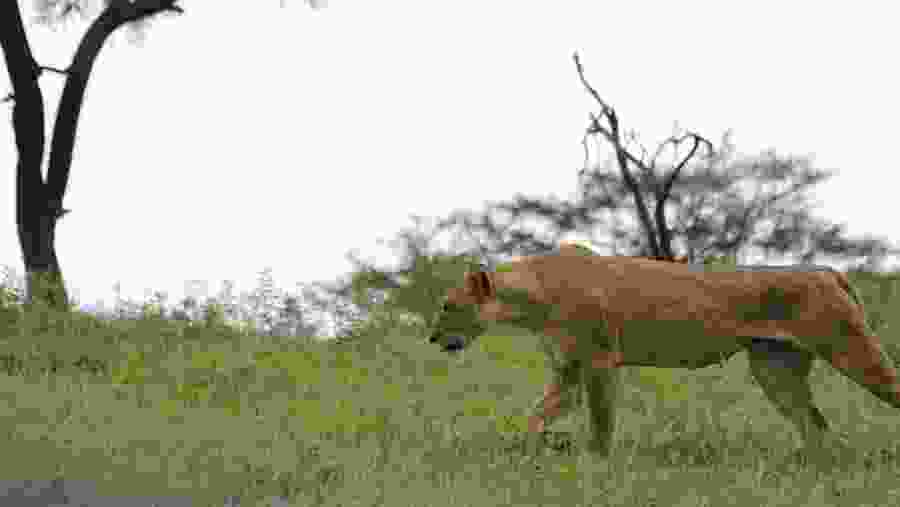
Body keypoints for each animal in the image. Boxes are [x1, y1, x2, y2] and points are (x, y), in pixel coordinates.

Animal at [427, 248, 900, 455]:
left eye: (448, 305)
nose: (432, 339)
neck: (532, 297)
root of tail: (829, 270)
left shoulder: (598, 361)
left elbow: (601, 422)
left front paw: (596, 462)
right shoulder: (569, 371)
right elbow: (536, 415)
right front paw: (529, 450)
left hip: (850, 349)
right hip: (775, 371)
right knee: (815, 424)